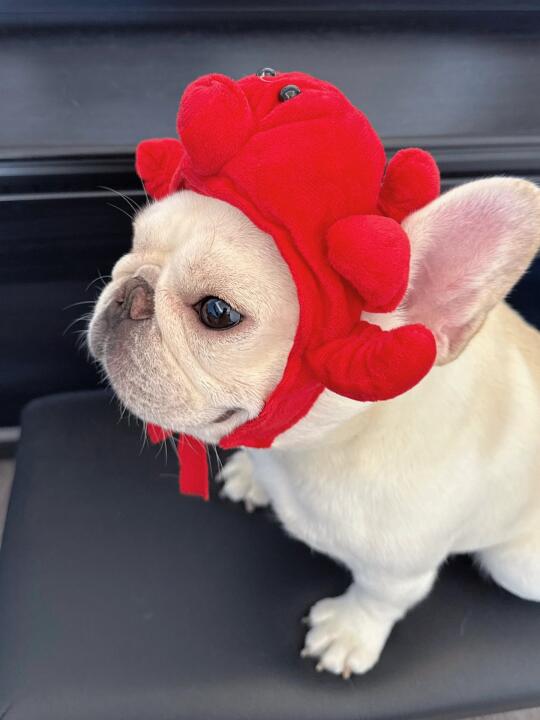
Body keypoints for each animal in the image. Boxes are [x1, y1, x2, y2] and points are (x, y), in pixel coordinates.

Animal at [88, 176, 540, 678]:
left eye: (217, 312)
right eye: (133, 245)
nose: (129, 290)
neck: (321, 449)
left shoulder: (397, 568)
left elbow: (378, 597)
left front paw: (349, 631)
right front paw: (251, 475)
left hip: (516, 565)